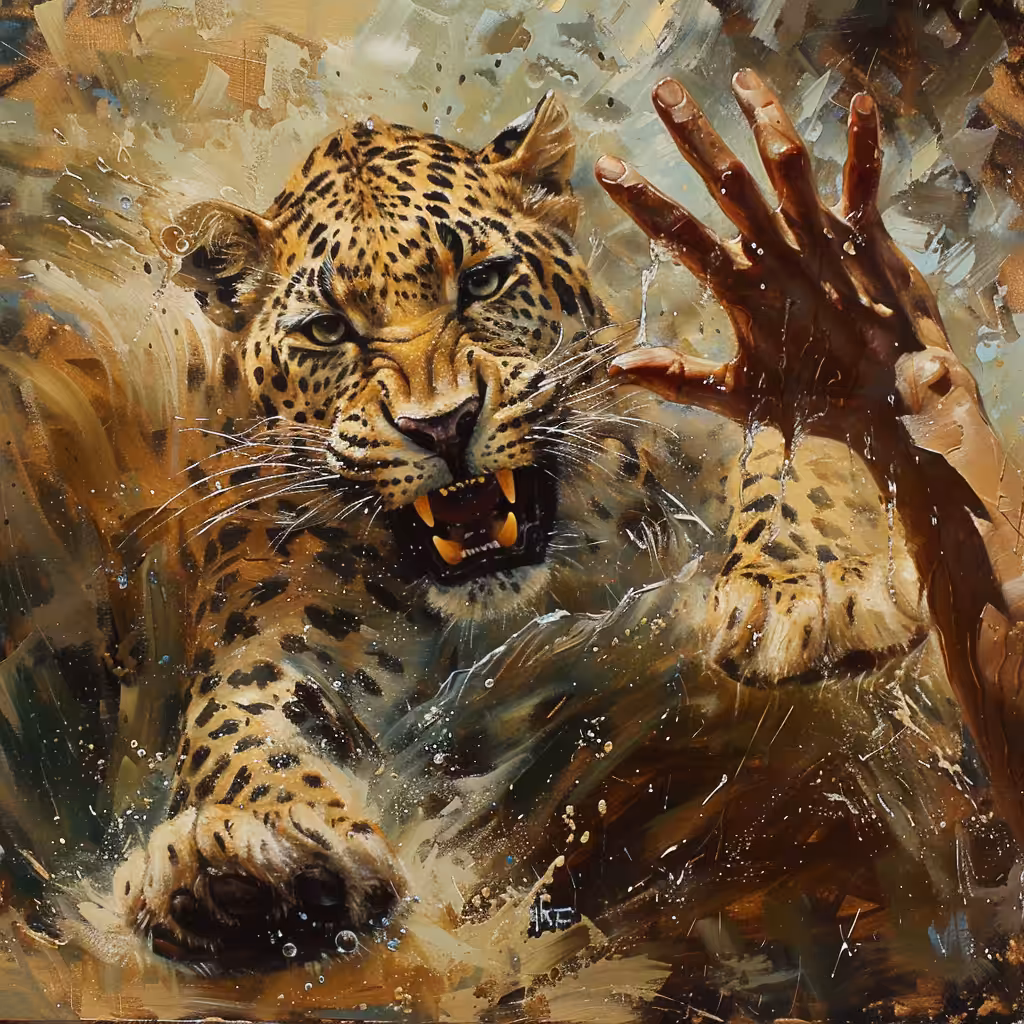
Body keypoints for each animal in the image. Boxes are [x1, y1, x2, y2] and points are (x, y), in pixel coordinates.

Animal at [0, 90, 927, 968]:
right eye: (327, 330)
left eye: (481, 281)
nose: (442, 425)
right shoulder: (280, 620)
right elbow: (240, 718)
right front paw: (239, 863)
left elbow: (793, 448)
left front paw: (808, 590)